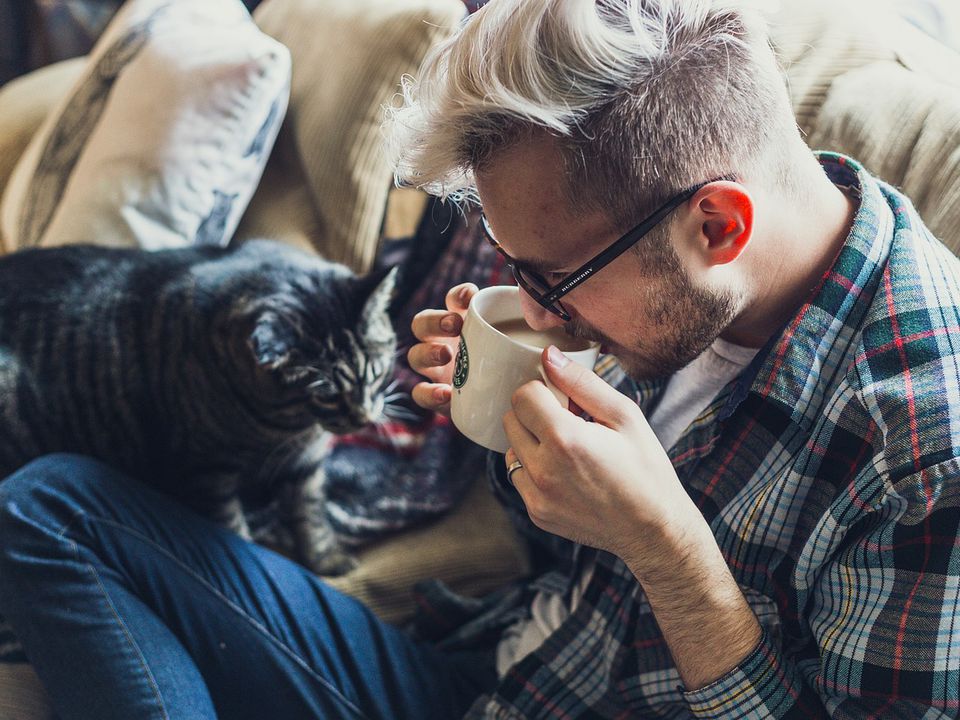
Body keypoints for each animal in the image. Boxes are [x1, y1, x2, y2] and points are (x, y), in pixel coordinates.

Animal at [0, 239, 398, 576]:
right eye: (325, 395)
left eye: (376, 372)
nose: (363, 418)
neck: (289, 426)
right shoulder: (206, 472)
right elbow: (233, 527)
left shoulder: (306, 464)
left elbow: (311, 514)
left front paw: (326, 558)